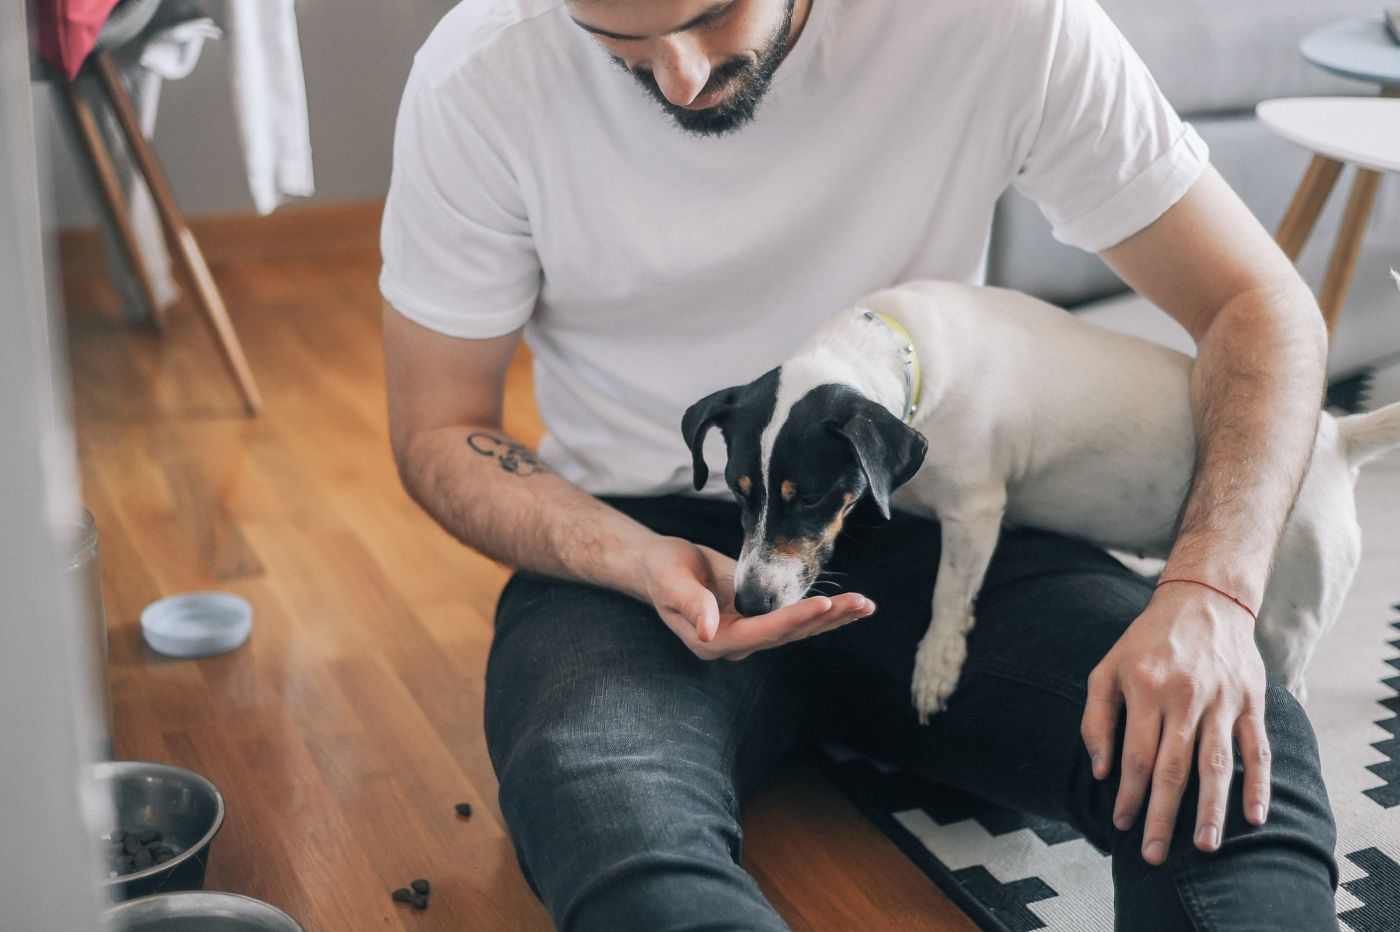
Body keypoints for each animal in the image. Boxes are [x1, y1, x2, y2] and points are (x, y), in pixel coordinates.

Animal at [683, 279, 1400, 722]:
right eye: (739, 492)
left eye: (811, 498)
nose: (749, 604)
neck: (906, 357)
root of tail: (1336, 436)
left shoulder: (976, 512)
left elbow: (949, 596)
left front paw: (937, 664)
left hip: (1289, 623)